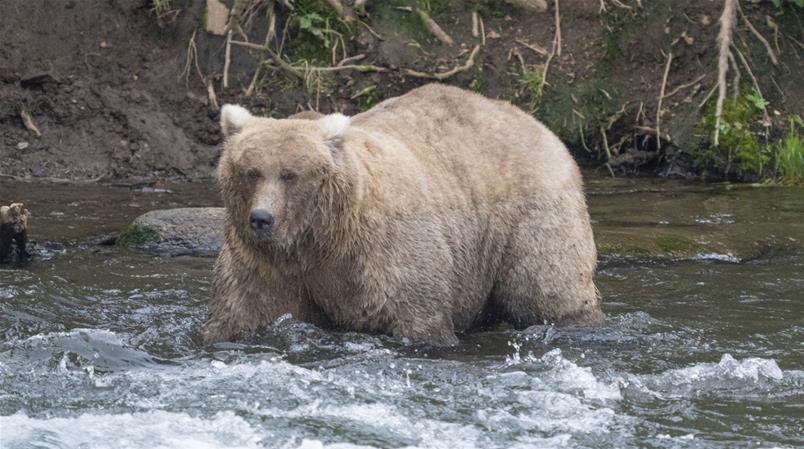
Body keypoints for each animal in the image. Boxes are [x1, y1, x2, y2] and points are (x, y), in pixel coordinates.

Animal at [203, 82, 604, 344]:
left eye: (291, 174)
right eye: (251, 171)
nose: (261, 219)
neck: (321, 239)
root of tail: (538, 124)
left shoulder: (384, 253)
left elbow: (417, 315)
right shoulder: (265, 264)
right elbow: (243, 311)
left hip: (530, 215)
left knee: (545, 288)